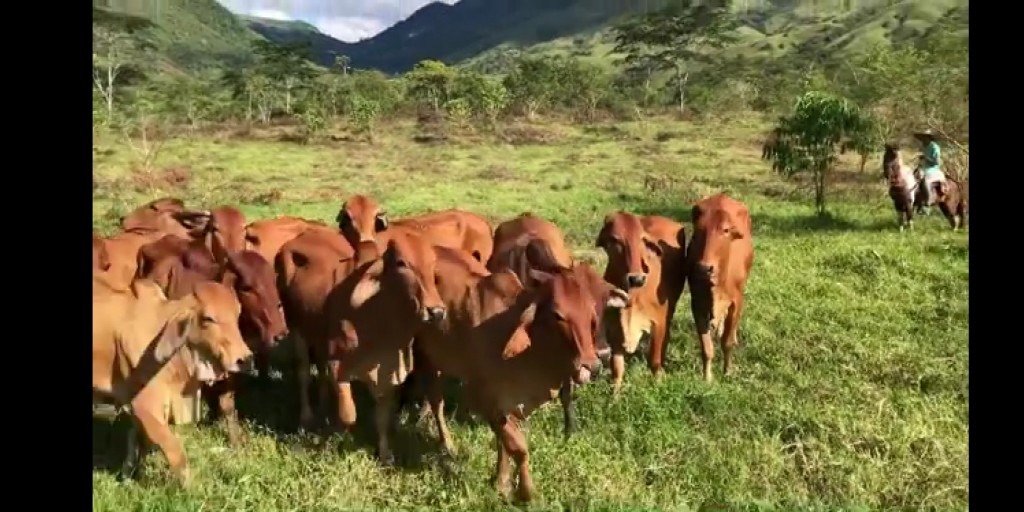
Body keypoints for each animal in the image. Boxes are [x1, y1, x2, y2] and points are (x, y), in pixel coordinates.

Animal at [92, 277, 252, 485]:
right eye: (208, 318)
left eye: (237, 314)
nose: (244, 359)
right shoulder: (145, 405)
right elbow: (175, 452)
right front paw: (190, 487)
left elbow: (137, 442)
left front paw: (129, 476)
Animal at [398, 246, 627, 502]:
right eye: (558, 315)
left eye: (592, 313)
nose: (591, 365)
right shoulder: (486, 399)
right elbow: (519, 448)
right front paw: (527, 493)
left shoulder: (512, 404)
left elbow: (505, 444)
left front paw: (501, 483)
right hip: (423, 354)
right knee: (436, 402)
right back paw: (445, 444)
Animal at [595, 211, 686, 393]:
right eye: (615, 239)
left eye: (642, 240)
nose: (636, 279)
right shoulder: (613, 329)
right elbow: (617, 368)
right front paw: (614, 395)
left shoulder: (658, 323)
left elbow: (654, 361)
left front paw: (658, 384)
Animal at [686, 194, 755, 383]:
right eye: (697, 232)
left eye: (725, 231)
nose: (704, 268)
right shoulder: (697, 303)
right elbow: (706, 347)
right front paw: (707, 377)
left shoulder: (737, 301)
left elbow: (727, 342)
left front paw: (727, 371)